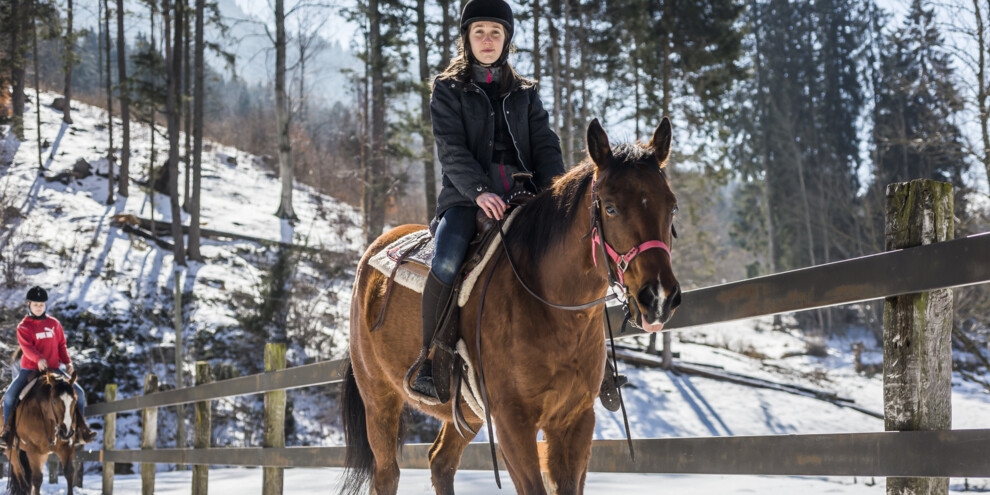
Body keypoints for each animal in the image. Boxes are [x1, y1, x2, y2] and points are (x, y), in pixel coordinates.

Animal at [342, 119, 680, 495]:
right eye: (610, 207)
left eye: (672, 206)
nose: (659, 298)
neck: (552, 311)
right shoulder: (512, 422)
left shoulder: (575, 420)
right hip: (379, 399)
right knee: (387, 473)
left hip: (466, 413)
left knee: (441, 461)